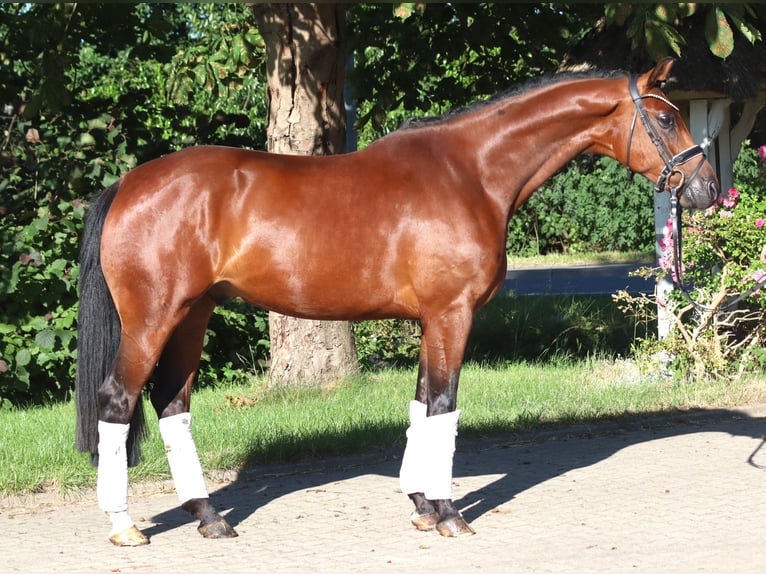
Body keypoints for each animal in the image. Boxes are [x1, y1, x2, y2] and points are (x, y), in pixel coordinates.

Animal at [75, 58, 719, 546]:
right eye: (667, 117)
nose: (708, 189)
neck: (470, 173)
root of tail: (127, 184)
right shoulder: (452, 314)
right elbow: (445, 408)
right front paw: (449, 513)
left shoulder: (430, 319)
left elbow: (421, 406)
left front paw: (421, 505)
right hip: (153, 319)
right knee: (118, 401)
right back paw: (124, 524)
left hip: (193, 315)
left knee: (172, 404)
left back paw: (209, 517)